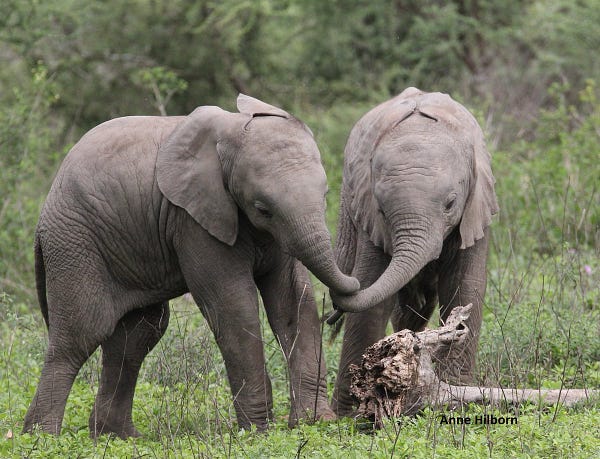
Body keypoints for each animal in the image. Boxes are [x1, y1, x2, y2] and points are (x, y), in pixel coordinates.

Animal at [25, 94, 358, 438]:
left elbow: (293, 301)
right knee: (80, 335)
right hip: (75, 246)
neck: (229, 133)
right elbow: (235, 306)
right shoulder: (193, 219)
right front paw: (257, 432)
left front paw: (315, 423)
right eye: (262, 208)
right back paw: (42, 438)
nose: (336, 309)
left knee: (137, 337)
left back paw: (116, 437)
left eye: (326, 195)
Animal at [328, 88, 496, 416]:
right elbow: (373, 287)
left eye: (450, 204)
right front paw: (348, 414)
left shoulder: (475, 206)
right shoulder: (370, 216)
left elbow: (464, 287)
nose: (333, 311)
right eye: (382, 210)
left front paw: (456, 392)